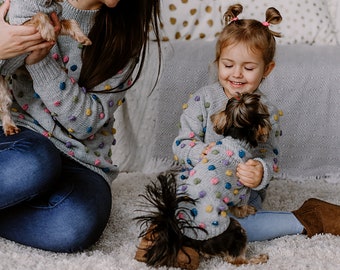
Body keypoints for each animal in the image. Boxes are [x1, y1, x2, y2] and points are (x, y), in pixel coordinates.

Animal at [0, 0, 91, 135]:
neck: (44, 4)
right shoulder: (21, 27)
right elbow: (39, 14)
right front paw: (48, 31)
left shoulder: (57, 21)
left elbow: (71, 21)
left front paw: (83, 37)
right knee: (4, 106)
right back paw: (10, 127)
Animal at [134, 92, 272, 268]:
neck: (237, 138)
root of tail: (183, 234)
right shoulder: (242, 189)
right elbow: (241, 206)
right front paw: (248, 210)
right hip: (235, 230)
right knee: (237, 261)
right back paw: (259, 258)